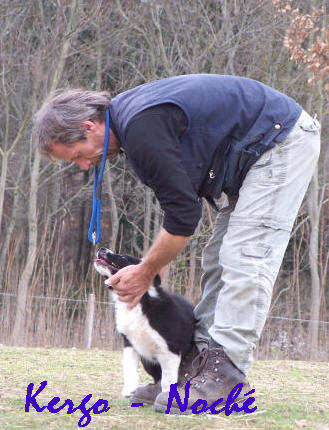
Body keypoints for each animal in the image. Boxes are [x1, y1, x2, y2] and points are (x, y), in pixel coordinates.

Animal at [92, 247, 195, 398]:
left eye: (124, 257)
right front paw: (129, 390)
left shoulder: (170, 348)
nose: (101, 248)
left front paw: (167, 396)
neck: (139, 302)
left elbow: (168, 378)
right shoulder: (129, 342)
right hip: (148, 361)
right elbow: (128, 366)